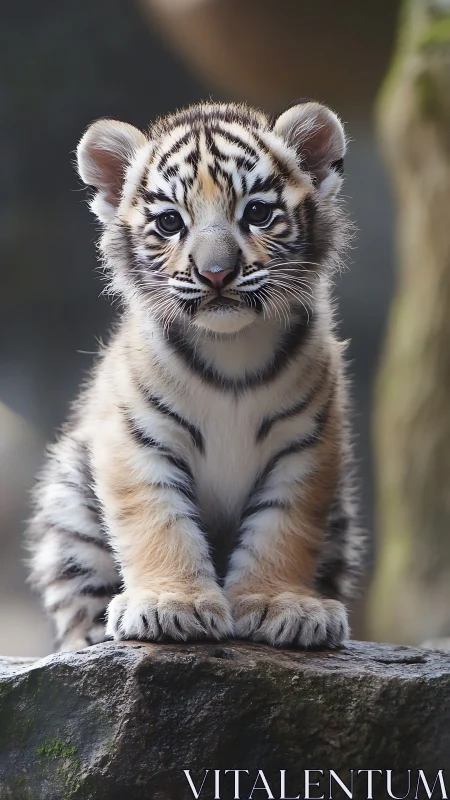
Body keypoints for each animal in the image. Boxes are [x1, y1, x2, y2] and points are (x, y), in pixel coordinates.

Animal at [27, 100, 364, 653]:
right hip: (70, 498)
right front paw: (170, 604)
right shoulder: (138, 440)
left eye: (256, 213)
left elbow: (284, 527)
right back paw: (93, 636)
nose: (216, 273)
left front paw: (284, 604)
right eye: (170, 222)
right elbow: (159, 521)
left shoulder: (305, 446)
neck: (231, 350)